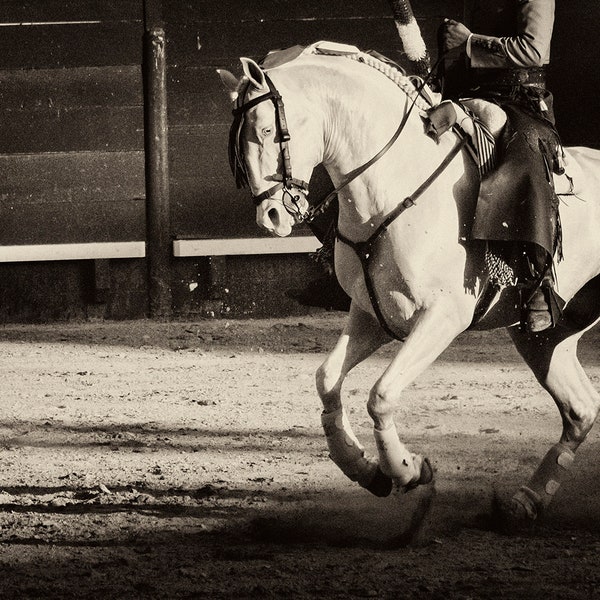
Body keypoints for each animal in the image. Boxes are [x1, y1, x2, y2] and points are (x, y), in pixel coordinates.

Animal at [219, 42, 600, 528]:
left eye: (268, 130)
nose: (270, 217)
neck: (390, 187)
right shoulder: (372, 313)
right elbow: (327, 380)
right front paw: (364, 469)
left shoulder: (443, 317)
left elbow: (381, 394)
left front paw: (407, 470)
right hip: (544, 336)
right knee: (580, 408)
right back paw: (524, 502)